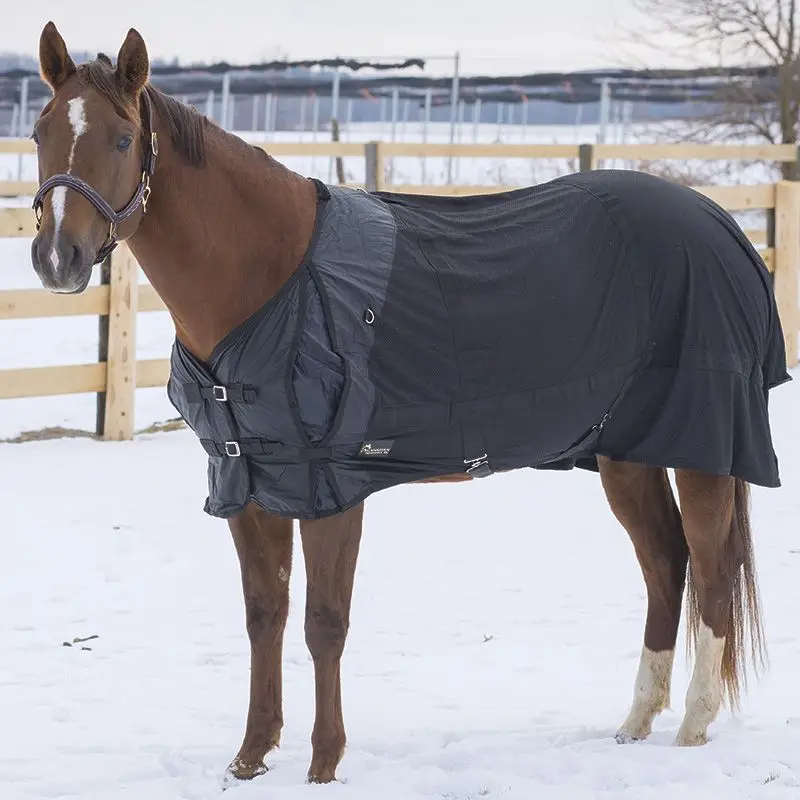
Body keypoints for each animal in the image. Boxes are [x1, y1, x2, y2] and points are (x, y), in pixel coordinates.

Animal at [29, 22, 791, 785]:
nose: (57, 258)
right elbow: (264, 614)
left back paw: (691, 727)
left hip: (700, 448)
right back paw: (635, 722)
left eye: (122, 140)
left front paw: (324, 763)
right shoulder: (247, 478)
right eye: (40, 133)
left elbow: (324, 622)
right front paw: (250, 757)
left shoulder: (329, 485)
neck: (271, 278)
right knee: (666, 566)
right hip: (628, 452)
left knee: (711, 573)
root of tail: (720, 224)